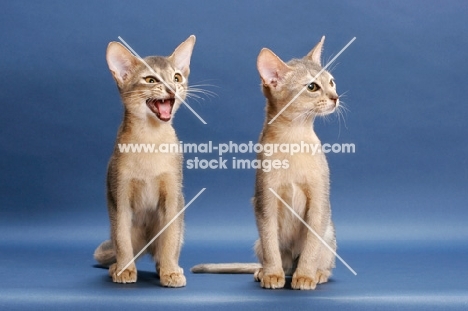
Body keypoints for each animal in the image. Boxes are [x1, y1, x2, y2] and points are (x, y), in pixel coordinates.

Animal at [94, 35, 197, 288]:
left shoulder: (173, 196)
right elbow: (121, 239)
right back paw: (117, 266)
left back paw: (168, 266)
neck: (150, 140)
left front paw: (170, 272)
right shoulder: (119, 197)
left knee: (165, 246)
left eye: (177, 77)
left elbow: (170, 239)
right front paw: (124, 270)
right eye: (151, 80)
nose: (172, 88)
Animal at [192, 37, 338, 292]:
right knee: (280, 260)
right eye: (312, 87)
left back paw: (316, 273)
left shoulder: (319, 202)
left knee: (322, 261)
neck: (293, 140)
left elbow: (311, 249)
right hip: (259, 241)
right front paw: (271, 275)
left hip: (328, 232)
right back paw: (265, 272)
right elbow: (271, 246)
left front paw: (305, 276)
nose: (336, 97)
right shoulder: (264, 202)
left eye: (331, 82)